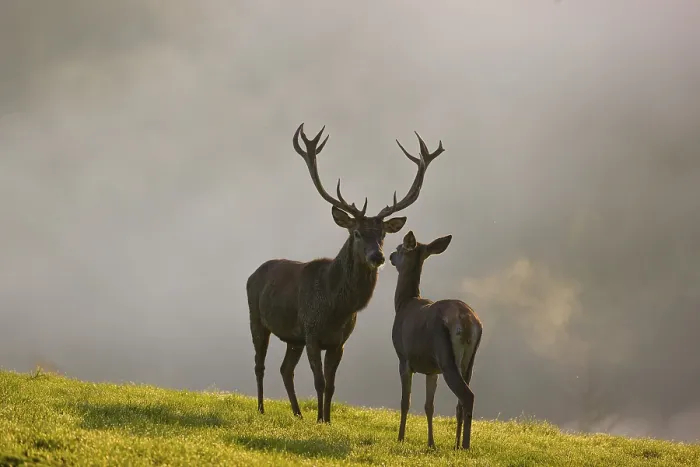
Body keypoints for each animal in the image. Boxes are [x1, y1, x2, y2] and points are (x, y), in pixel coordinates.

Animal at [246, 123, 445, 424]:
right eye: (357, 233)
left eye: (383, 234)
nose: (378, 257)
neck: (336, 308)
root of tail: (252, 274)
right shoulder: (312, 331)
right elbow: (318, 382)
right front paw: (319, 419)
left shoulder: (338, 341)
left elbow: (331, 384)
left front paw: (327, 419)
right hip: (257, 318)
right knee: (260, 364)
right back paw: (260, 408)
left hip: (293, 338)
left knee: (285, 369)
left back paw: (297, 413)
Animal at [388, 230, 483, 450]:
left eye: (399, 248)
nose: (390, 256)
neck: (403, 304)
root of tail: (467, 322)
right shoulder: (431, 369)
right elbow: (429, 405)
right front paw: (431, 443)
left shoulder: (403, 358)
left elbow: (405, 402)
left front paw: (400, 438)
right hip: (469, 361)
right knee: (460, 401)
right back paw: (456, 444)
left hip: (446, 356)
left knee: (467, 395)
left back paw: (465, 445)